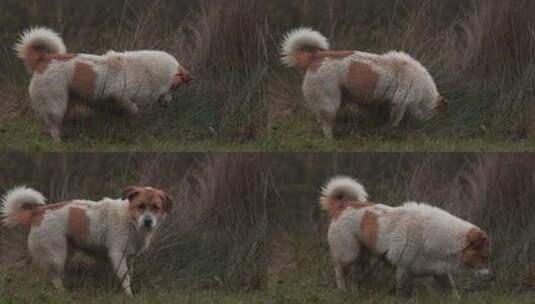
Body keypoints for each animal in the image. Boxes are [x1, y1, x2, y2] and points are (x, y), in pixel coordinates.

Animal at [0, 185, 174, 296]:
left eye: (156, 207)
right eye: (141, 205)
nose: (148, 221)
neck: (130, 219)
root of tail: (39, 212)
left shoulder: (129, 258)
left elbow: (127, 274)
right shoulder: (117, 254)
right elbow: (125, 279)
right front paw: (129, 296)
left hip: (66, 253)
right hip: (56, 255)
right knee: (55, 277)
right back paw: (61, 294)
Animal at [14, 26, 195, 141]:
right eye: (175, 87)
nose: (168, 104)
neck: (149, 70)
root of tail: (43, 58)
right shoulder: (118, 96)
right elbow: (133, 109)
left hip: (67, 101)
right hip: (56, 103)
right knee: (52, 125)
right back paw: (58, 141)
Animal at [280, 27, 448, 139]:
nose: (427, 125)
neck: (423, 87)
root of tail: (315, 56)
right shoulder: (398, 103)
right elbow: (394, 120)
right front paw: (387, 129)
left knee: (320, 119)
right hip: (330, 102)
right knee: (326, 123)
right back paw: (331, 139)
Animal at [320, 177, 496, 298]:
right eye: (483, 257)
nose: (492, 277)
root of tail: (342, 207)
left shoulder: (441, 273)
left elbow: (453, 293)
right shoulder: (403, 269)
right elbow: (402, 291)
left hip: (363, 258)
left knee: (355, 277)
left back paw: (355, 293)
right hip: (348, 254)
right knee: (340, 271)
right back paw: (342, 290)